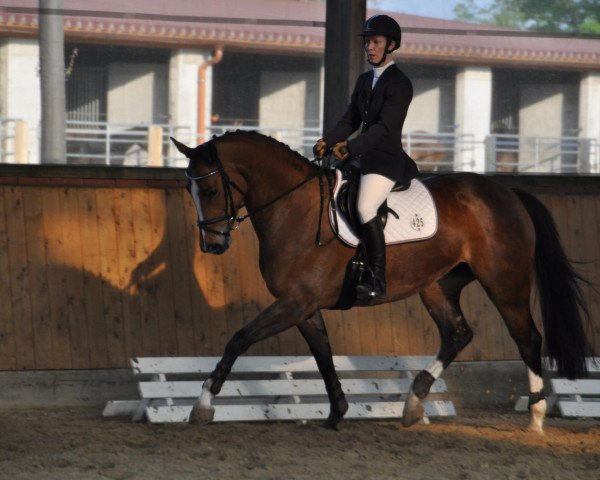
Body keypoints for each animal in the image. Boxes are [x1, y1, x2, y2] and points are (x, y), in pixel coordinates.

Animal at [169, 132, 592, 436]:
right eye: (191, 192)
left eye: (210, 190)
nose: (213, 245)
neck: (294, 208)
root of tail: (507, 192)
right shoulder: (303, 306)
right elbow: (323, 355)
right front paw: (337, 412)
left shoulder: (295, 302)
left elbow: (239, 339)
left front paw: (203, 404)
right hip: (437, 285)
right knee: (457, 334)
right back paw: (414, 403)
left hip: (504, 282)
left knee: (527, 338)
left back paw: (536, 415)